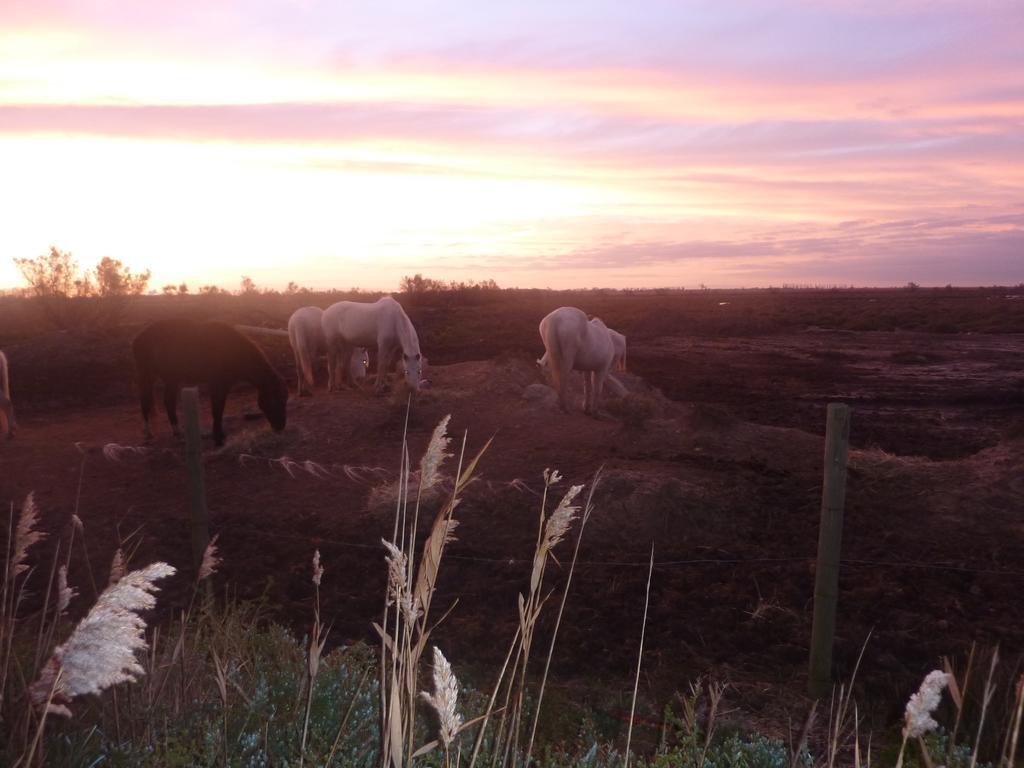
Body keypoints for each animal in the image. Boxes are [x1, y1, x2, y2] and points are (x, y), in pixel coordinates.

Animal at [133, 319, 288, 450]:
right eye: (275, 400)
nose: (280, 427)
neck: (233, 350)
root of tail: (139, 336)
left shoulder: (224, 386)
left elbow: (219, 411)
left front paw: (220, 436)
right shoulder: (217, 385)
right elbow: (217, 411)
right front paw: (218, 439)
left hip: (171, 379)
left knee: (168, 402)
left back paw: (178, 433)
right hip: (147, 375)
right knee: (145, 401)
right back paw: (148, 433)